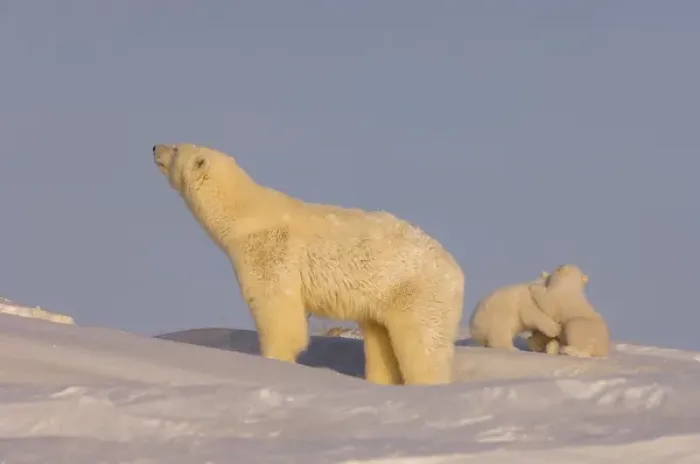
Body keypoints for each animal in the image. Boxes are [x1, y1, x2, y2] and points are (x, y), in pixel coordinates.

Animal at [152, 143, 465, 385]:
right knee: (381, 342)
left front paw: (273, 360)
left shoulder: (271, 251)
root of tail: (456, 271)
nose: (155, 147)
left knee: (423, 344)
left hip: (417, 291)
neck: (246, 214)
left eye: (177, 147)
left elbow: (276, 308)